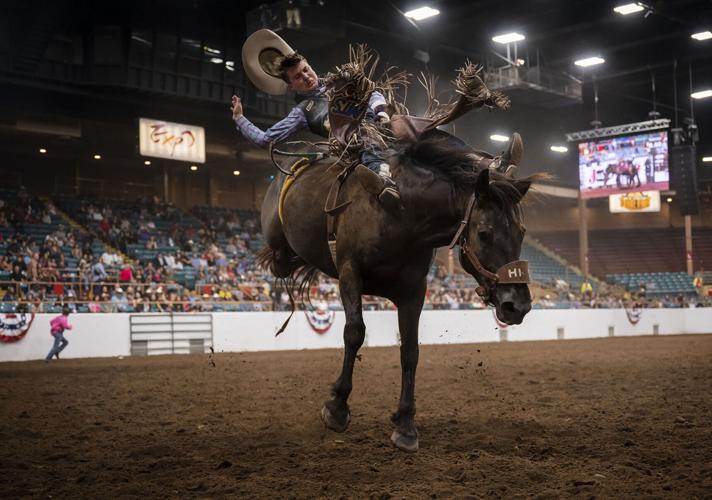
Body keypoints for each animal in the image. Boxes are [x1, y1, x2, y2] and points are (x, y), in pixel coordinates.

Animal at [258, 52, 544, 452]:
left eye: (521, 232)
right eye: (484, 233)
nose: (517, 305)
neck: (402, 212)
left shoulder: (414, 289)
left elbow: (410, 350)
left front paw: (405, 424)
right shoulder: (349, 273)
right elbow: (354, 332)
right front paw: (337, 407)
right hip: (276, 239)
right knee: (281, 261)